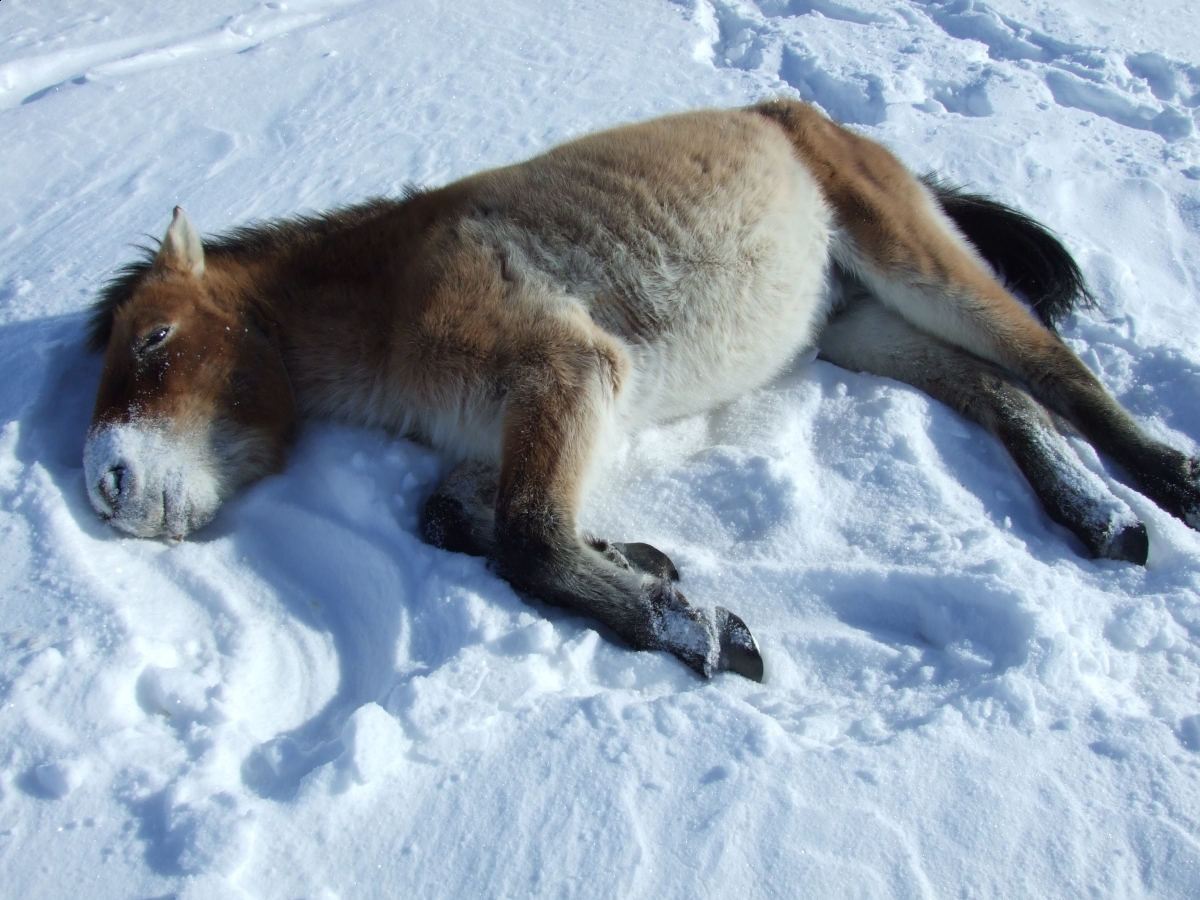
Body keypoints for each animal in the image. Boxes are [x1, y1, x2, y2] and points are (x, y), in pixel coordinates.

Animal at [83, 100, 1200, 682]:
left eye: (155, 338)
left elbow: (529, 540)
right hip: (856, 324)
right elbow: (456, 518)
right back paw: (1092, 514)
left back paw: (1159, 485)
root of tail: (797, 113)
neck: (391, 299)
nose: (106, 484)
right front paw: (649, 570)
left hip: (918, 266)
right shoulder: (503, 429)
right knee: (1003, 397)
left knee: (1058, 375)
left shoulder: (567, 374)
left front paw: (689, 627)